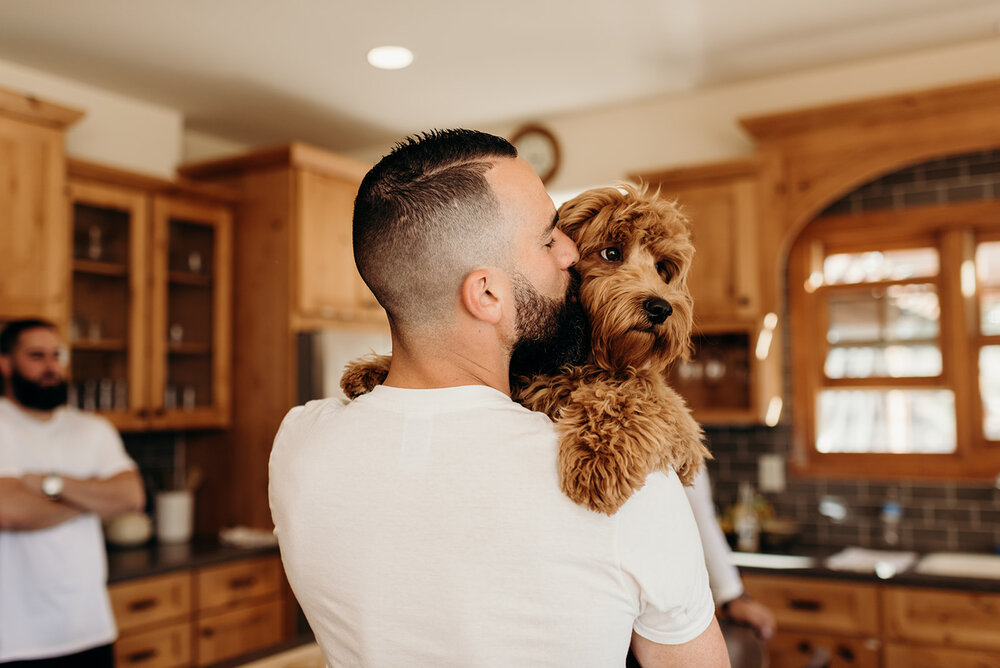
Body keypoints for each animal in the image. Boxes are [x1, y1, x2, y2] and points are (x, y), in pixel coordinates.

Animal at [344, 185, 712, 516]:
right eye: (611, 253)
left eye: (663, 268)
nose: (661, 308)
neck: (581, 360)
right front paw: (371, 369)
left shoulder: (682, 432)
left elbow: (637, 396)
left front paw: (598, 458)